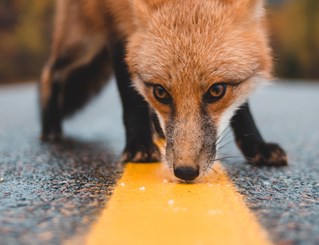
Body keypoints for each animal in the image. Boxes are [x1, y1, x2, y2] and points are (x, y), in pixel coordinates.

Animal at [38, 0, 288, 180]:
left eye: (217, 90)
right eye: (160, 92)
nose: (186, 172)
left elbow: (242, 107)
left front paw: (256, 146)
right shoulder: (117, 27)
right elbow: (131, 99)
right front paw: (138, 145)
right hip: (82, 40)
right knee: (50, 72)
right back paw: (50, 127)